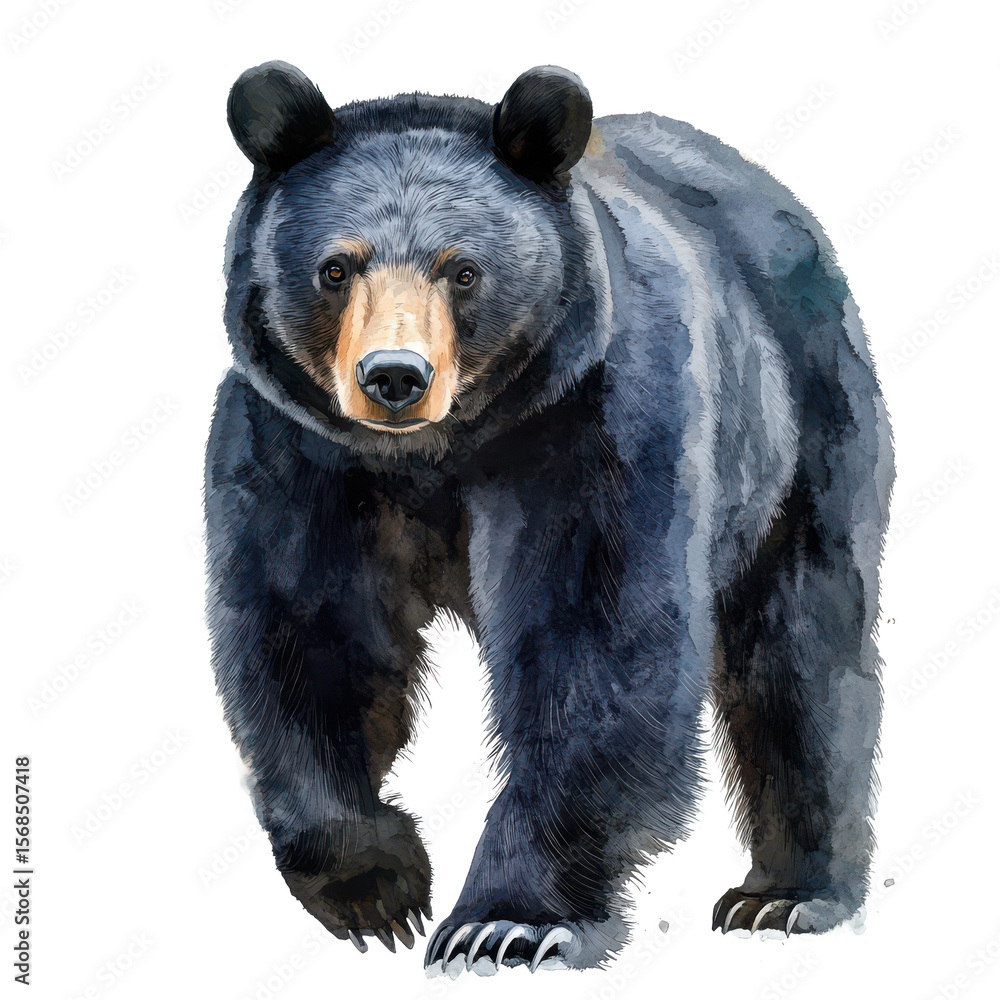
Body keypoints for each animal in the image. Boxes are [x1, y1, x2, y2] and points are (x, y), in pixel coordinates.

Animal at [204, 60, 894, 975]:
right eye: (337, 268)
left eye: (462, 270)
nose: (395, 377)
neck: (440, 450)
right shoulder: (300, 449)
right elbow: (309, 635)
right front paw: (376, 888)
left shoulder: (593, 420)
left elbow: (592, 640)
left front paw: (506, 921)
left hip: (803, 431)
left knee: (802, 648)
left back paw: (787, 895)